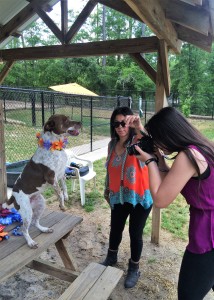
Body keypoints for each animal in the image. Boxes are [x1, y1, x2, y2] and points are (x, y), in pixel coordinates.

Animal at [6, 113, 81, 247]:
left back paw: (44, 229)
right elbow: (59, 193)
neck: (55, 147)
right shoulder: (52, 178)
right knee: (24, 229)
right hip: (27, 212)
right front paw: (62, 205)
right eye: (66, 120)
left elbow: (64, 188)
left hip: (40, 204)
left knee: (35, 222)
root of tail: (13, 196)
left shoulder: (61, 174)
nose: (81, 123)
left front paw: (66, 197)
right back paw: (30, 242)